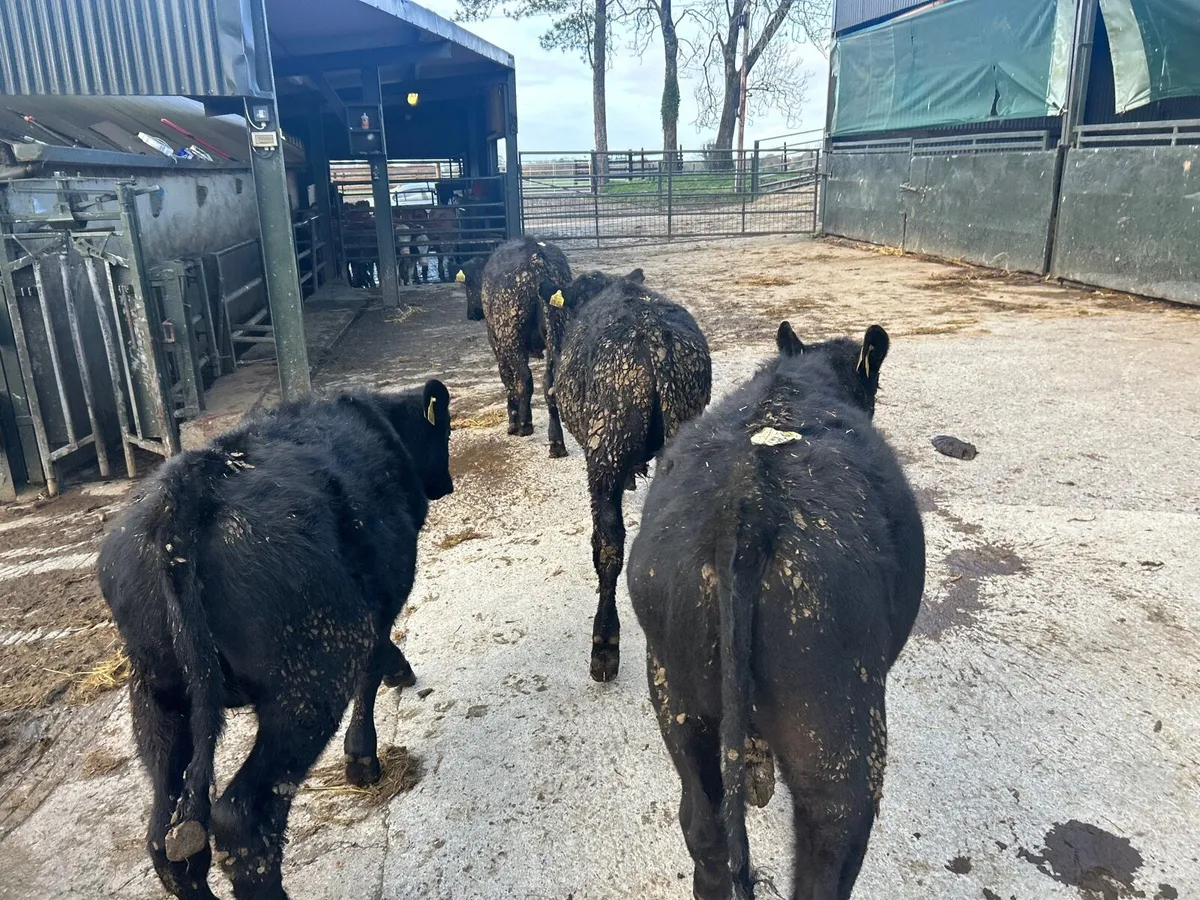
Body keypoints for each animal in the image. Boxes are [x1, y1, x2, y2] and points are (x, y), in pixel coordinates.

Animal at [98, 384, 454, 900]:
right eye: (445, 431)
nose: (446, 483)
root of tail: (184, 495)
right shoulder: (376, 601)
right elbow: (369, 670)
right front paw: (363, 757)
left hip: (156, 697)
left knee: (166, 839)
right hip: (304, 688)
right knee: (241, 819)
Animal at [481, 237, 571, 436]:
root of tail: (536, 259)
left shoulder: (499, 346)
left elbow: (508, 380)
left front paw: (513, 422)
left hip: (513, 339)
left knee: (523, 378)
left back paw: (524, 424)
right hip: (557, 332)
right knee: (550, 382)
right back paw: (555, 438)